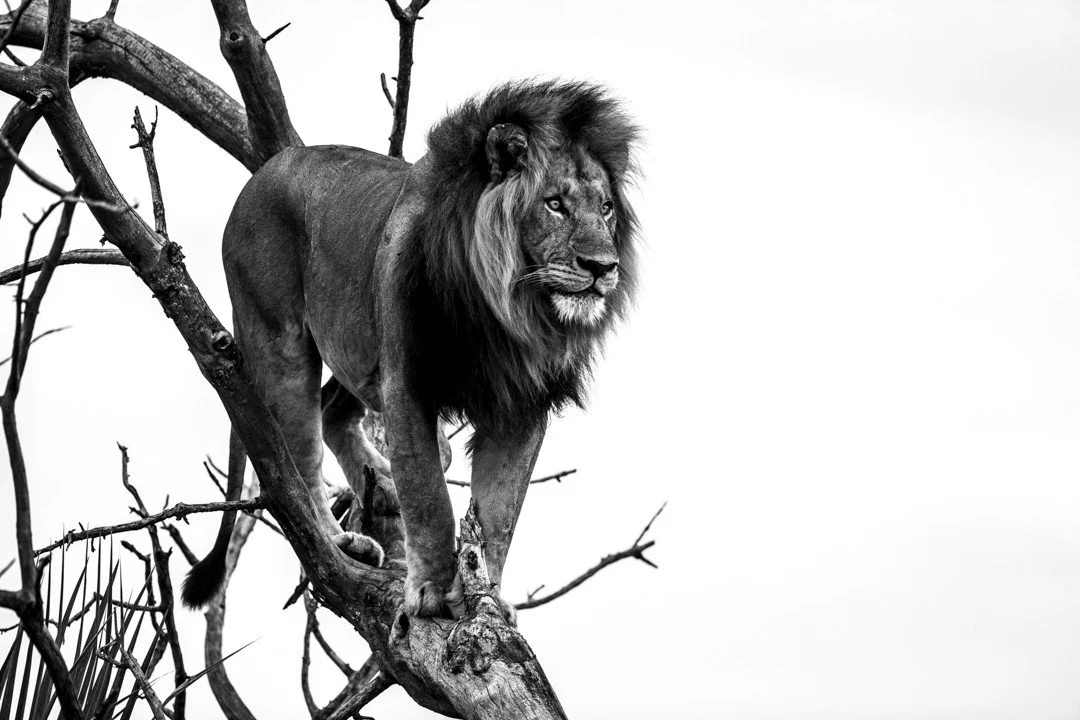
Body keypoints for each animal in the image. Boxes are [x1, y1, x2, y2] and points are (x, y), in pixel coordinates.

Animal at [181, 80, 641, 618]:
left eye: (606, 207)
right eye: (554, 204)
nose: (603, 266)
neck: (510, 313)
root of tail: (262, 175)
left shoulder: (523, 403)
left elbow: (499, 515)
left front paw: (488, 597)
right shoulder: (407, 378)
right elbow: (429, 498)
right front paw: (434, 591)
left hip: (359, 337)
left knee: (335, 410)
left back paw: (380, 483)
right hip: (280, 337)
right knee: (296, 458)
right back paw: (339, 540)